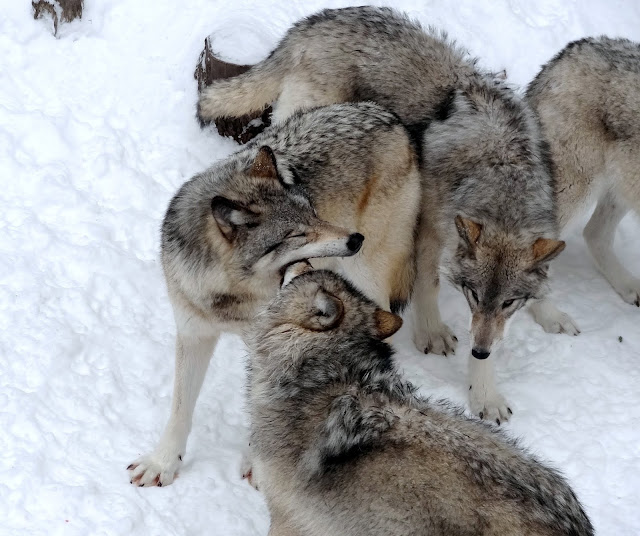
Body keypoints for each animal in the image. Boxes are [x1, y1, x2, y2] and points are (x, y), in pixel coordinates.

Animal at [127, 102, 422, 488]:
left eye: (313, 213)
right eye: (297, 235)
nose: (354, 239)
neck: (228, 295)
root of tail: (385, 113)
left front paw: (257, 460)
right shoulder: (193, 333)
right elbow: (179, 409)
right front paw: (162, 463)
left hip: (369, 273)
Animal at [198, 5, 572, 422]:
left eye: (509, 303)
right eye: (472, 294)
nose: (479, 351)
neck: (499, 166)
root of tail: (312, 22)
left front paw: (489, 385)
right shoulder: (429, 228)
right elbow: (428, 284)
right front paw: (434, 335)